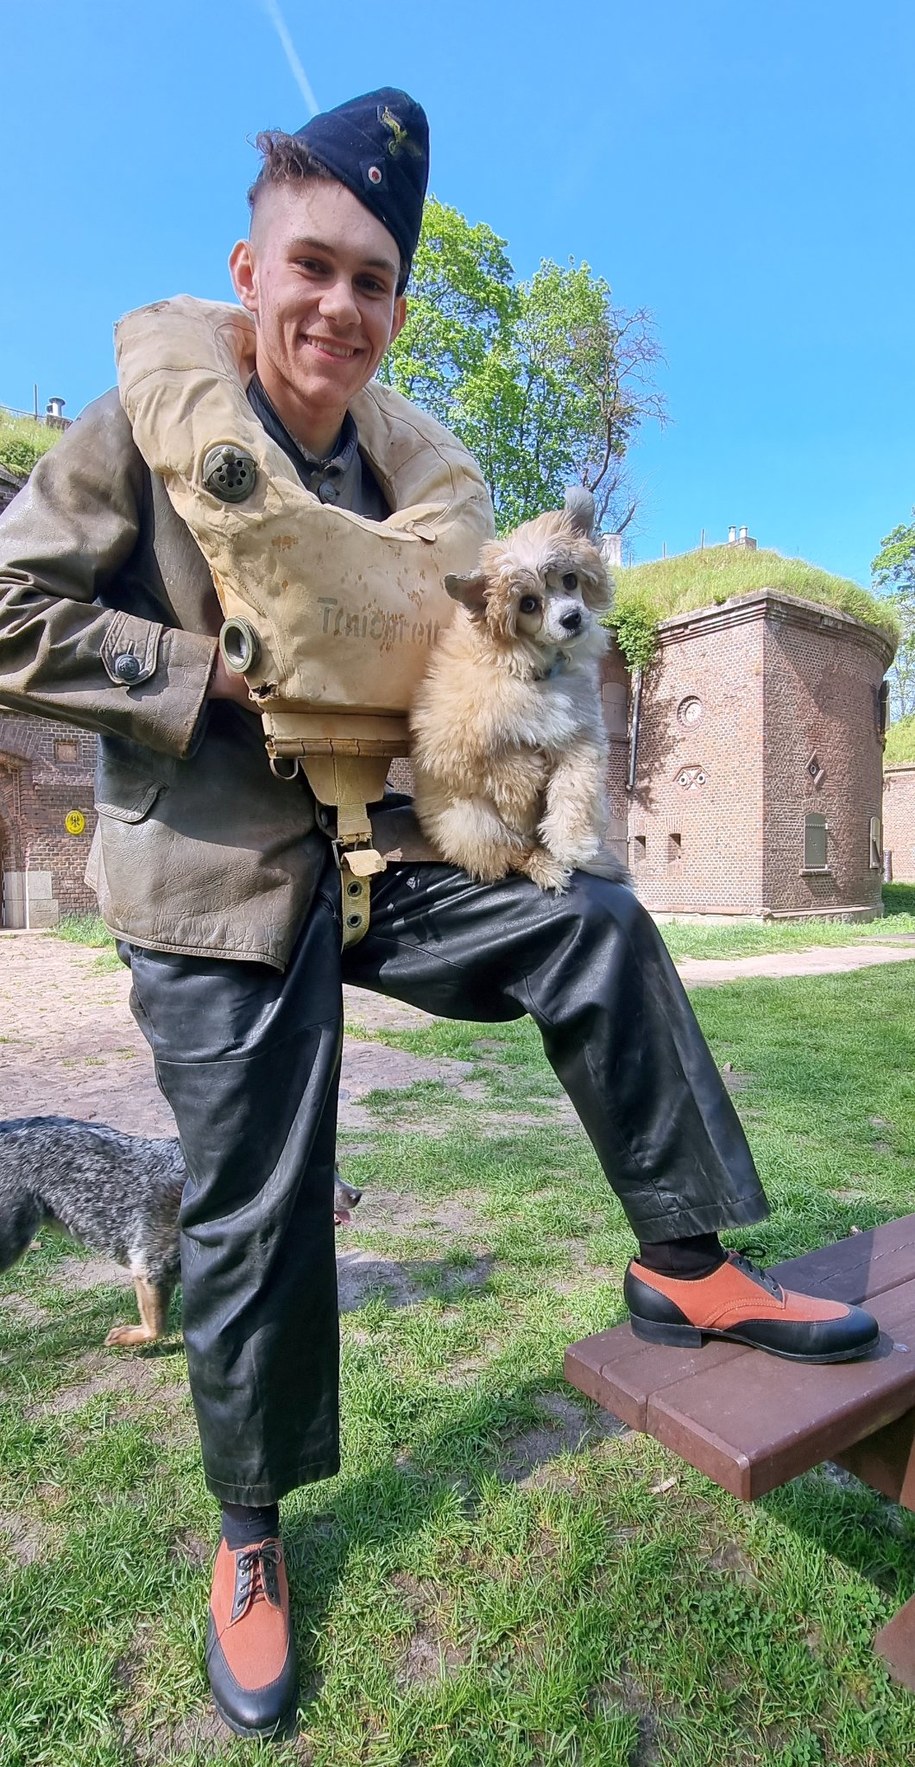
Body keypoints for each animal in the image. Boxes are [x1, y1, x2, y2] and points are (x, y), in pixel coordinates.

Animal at [0, 1116, 363, 1349]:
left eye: (337, 1169)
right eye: (319, 1178)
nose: (357, 1194)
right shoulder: (149, 1268)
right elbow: (155, 1328)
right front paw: (128, 1338)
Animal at [415, 491, 618, 890]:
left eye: (570, 580)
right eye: (528, 604)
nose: (572, 618)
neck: (537, 670)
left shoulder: (581, 738)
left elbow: (575, 787)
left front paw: (571, 841)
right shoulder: (463, 741)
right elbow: (508, 766)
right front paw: (523, 807)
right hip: (470, 824)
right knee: (509, 852)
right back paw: (542, 864)